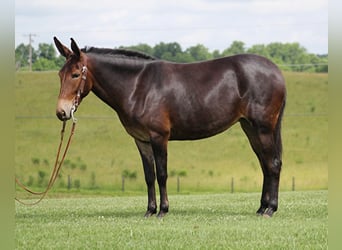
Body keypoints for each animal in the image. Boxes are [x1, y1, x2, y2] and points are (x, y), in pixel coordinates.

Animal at [54, 36, 286, 217]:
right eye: (60, 74)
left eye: (76, 74)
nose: (61, 112)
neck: (139, 86)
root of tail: (276, 71)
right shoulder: (141, 140)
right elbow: (149, 176)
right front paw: (150, 210)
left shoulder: (159, 137)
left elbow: (162, 174)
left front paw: (163, 210)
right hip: (250, 128)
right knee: (265, 164)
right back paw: (261, 207)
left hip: (263, 128)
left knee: (273, 164)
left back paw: (270, 209)